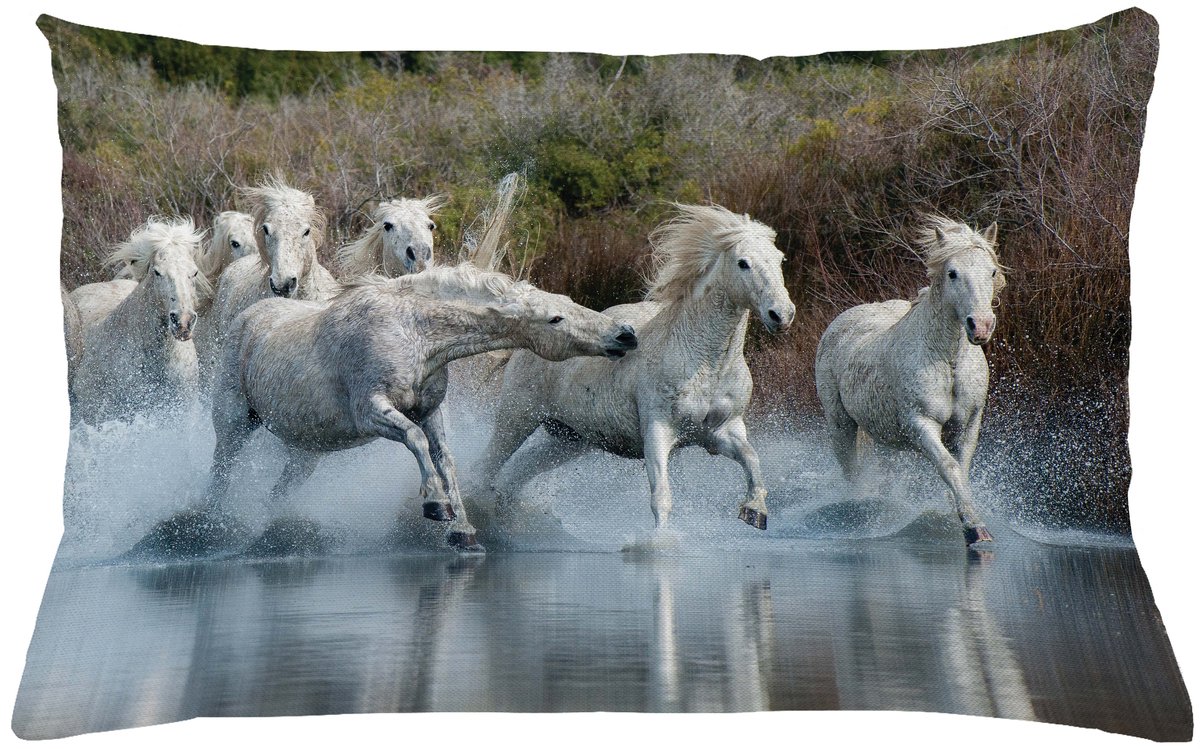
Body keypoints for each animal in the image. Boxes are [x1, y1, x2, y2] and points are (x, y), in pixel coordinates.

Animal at [205, 263, 639, 552]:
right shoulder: (372, 411)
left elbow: (445, 459)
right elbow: (415, 441)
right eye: (555, 318)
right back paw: (210, 524)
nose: (626, 335)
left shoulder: (430, 412)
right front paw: (434, 506)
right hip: (234, 422)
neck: (414, 331)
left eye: (569, 302)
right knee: (221, 468)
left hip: (307, 449)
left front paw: (463, 532)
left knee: (281, 489)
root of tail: (245, 317)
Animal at [478, 203, 795, 538]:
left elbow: (751, 459)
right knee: (485, 467)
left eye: (779, 258)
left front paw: (755, 511)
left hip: (567, 439)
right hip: (517, 418)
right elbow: (661, 496)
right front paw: (660, 542)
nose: (781, 315)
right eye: (743, 263)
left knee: (518, 472)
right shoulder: (658, 430)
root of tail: (523, 339)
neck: (706, 364)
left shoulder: (722, 432)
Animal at [813, 215, 1003, 547]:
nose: (980, 326)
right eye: (952, 273)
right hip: (840, 424)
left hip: (884, 437)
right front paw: (975, 529)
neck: (948, 361)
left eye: (991, 271)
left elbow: (961, 469)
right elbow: (949, 468)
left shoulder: (969, 424)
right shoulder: (921, 424)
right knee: (853, 474)